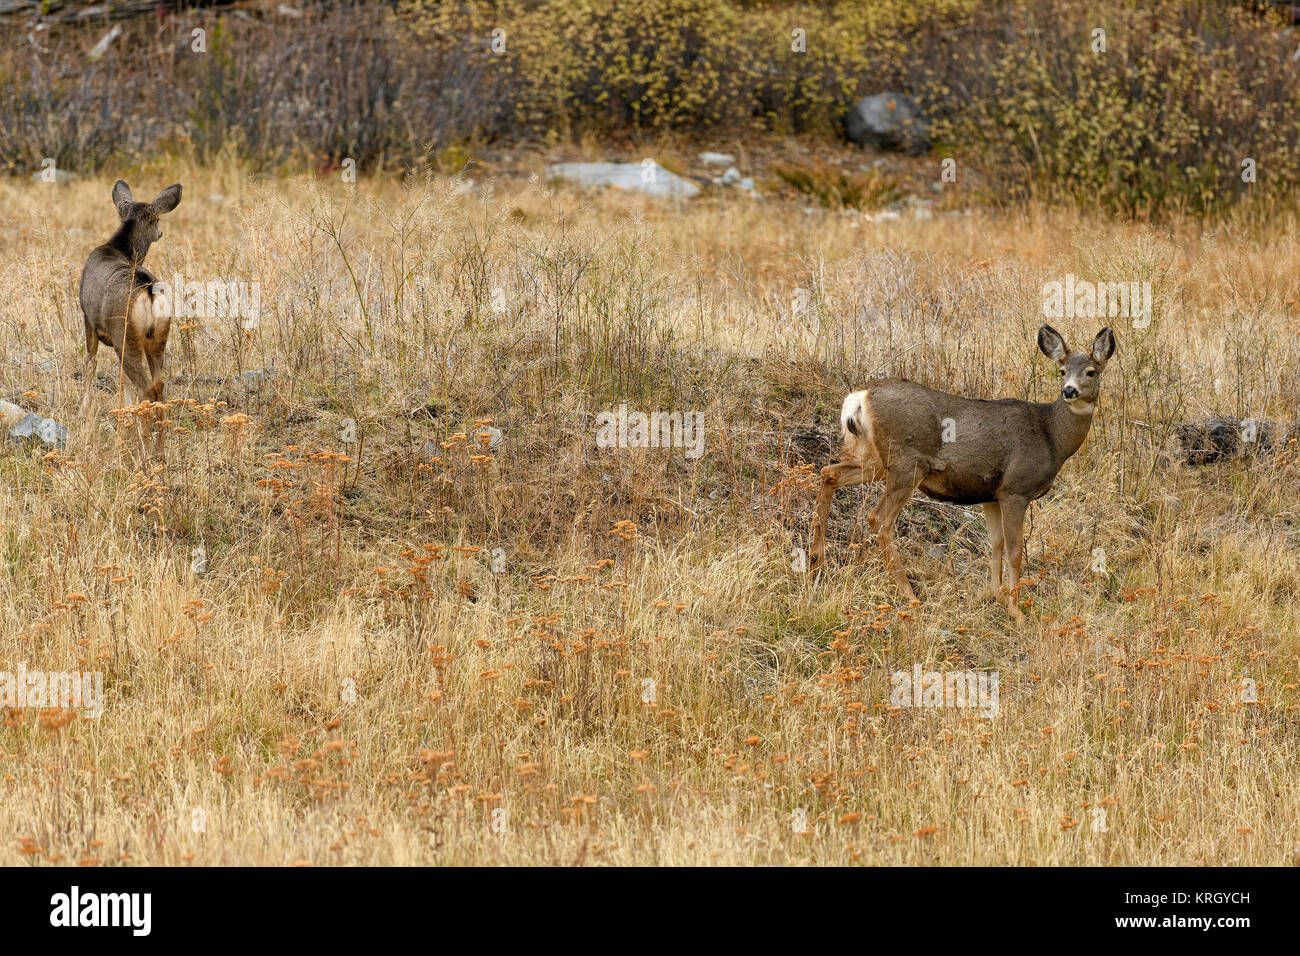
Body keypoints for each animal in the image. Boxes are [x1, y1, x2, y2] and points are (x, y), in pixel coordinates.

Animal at [78, 180, 180, 463]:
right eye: (156, 220)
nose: (161, 232)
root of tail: (149, 290)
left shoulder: (88, 319)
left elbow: (90, 364)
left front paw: (83, 413)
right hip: (158, 337)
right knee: (159, 385)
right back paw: (159, 452)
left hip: (126, 334)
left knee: (145, 388)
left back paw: (143, 454)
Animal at [806, 325, 1112, 624]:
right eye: (1062, 371)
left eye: (1091, 371)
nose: (1069, 391)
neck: (1052, 437)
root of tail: (861, 397)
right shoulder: (1016, 489)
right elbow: (1015, 550)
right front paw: (1016, 612)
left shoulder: (991, 494)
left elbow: (996, 542)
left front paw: (996, 594)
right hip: (908, 463)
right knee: (879, 518)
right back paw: (908, 593)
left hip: (878, 460)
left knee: (829, 472)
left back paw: (816, 562)